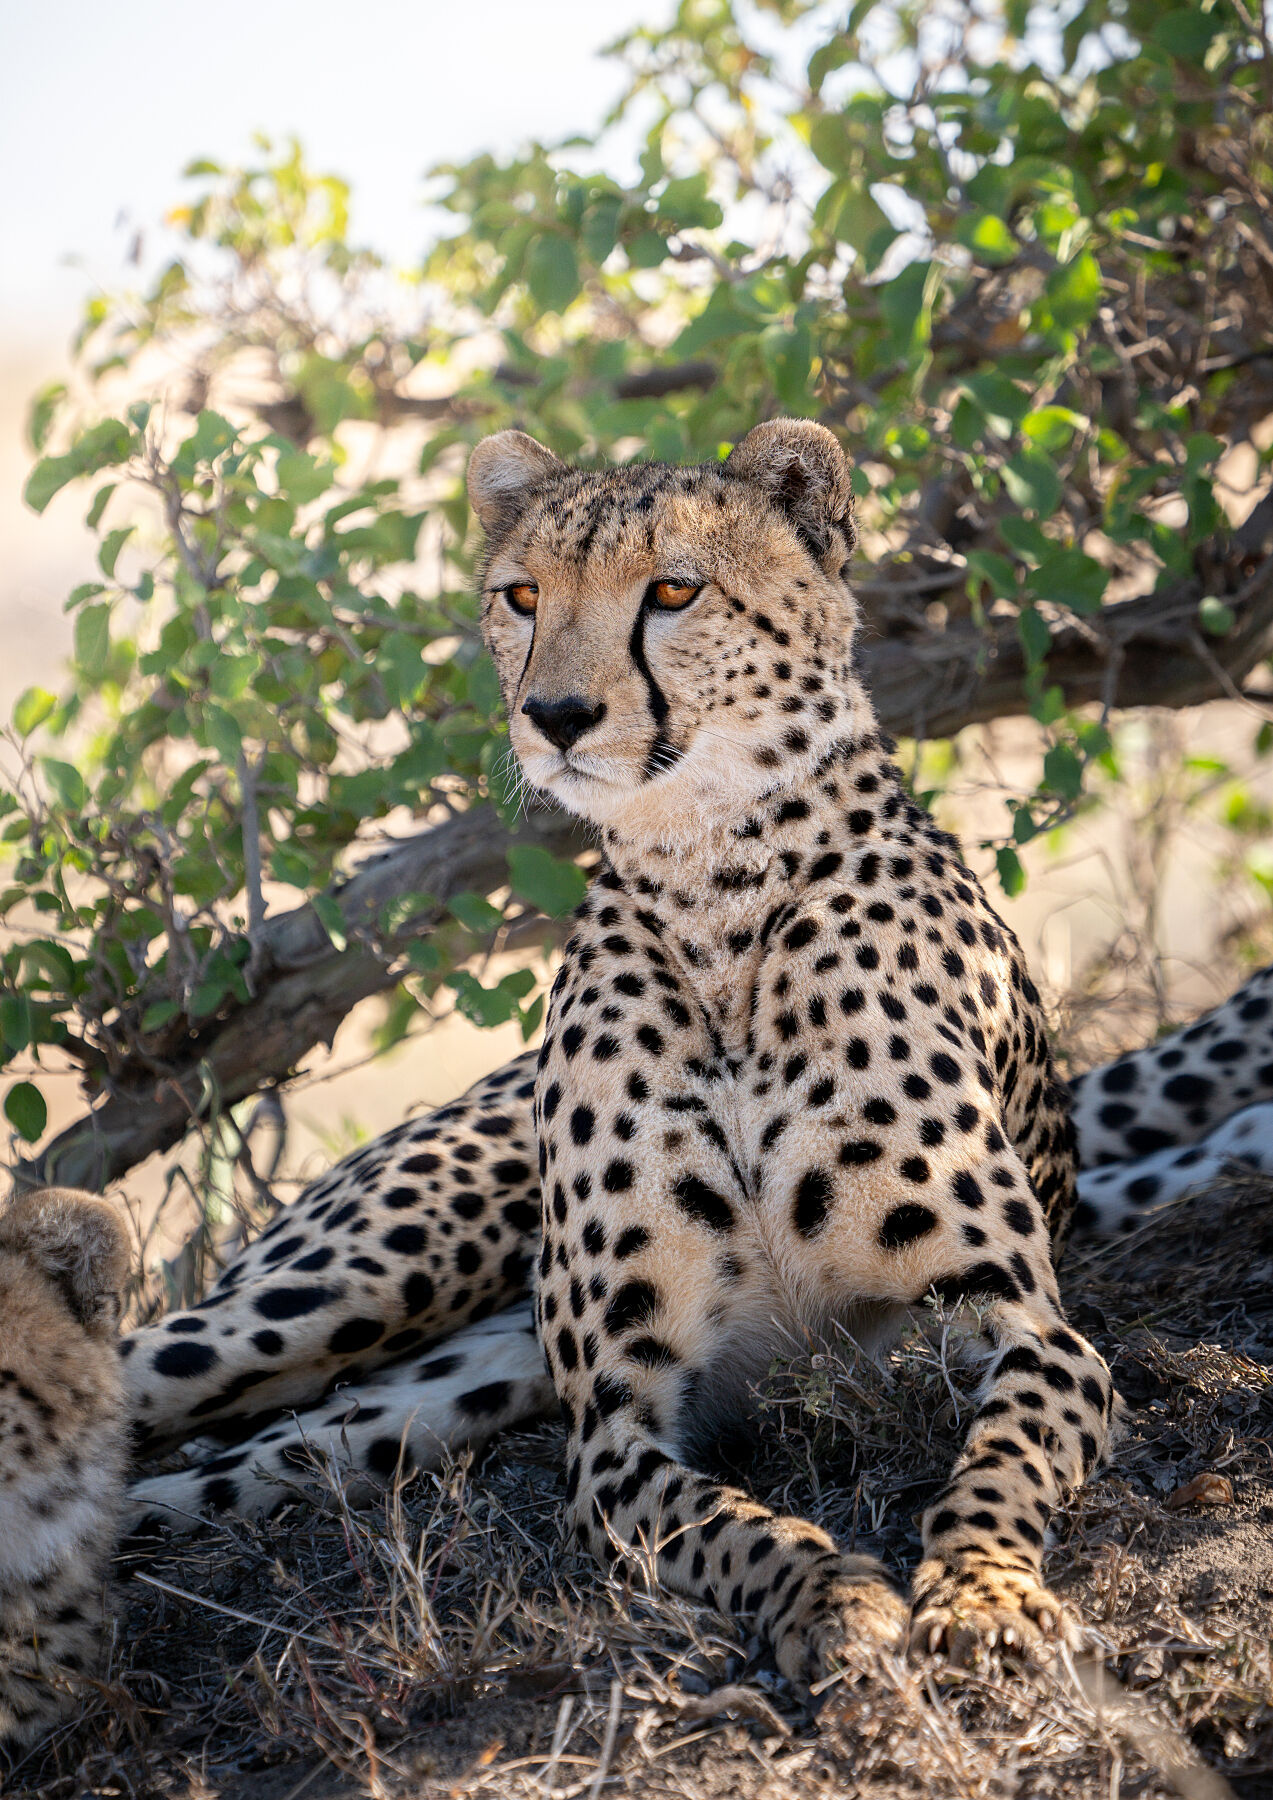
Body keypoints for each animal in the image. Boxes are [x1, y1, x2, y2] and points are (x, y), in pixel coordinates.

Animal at [119, 421, 1273, 1690]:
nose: (555, 714)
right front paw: (830, 1600)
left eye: (672, 591)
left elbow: (996, 1467)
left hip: (422, 1398)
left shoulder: (1019, 1323)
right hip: (348, 1288)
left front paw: (981, 1594)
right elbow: (731, 1526)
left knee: (227, 1465)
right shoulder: (616, 1423)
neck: (714, 888)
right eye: (522, 596)